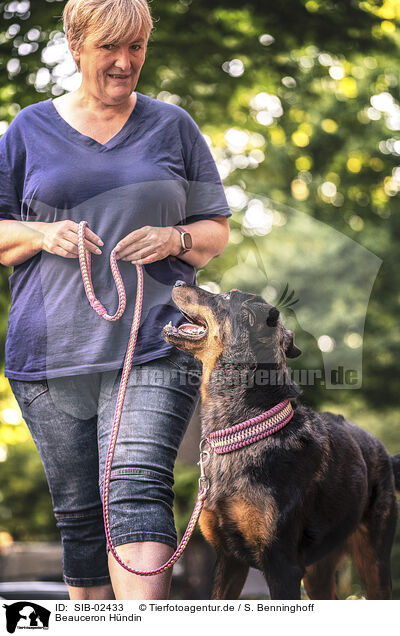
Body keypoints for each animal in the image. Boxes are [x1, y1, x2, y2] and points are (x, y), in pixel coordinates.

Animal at [163, 284, 400, 600]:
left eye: (224, 297)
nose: (177, 283)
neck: (241, 428)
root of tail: (385, 453)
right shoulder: (228, 560)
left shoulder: (282, 567)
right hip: (318, 570)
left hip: (372, 558)